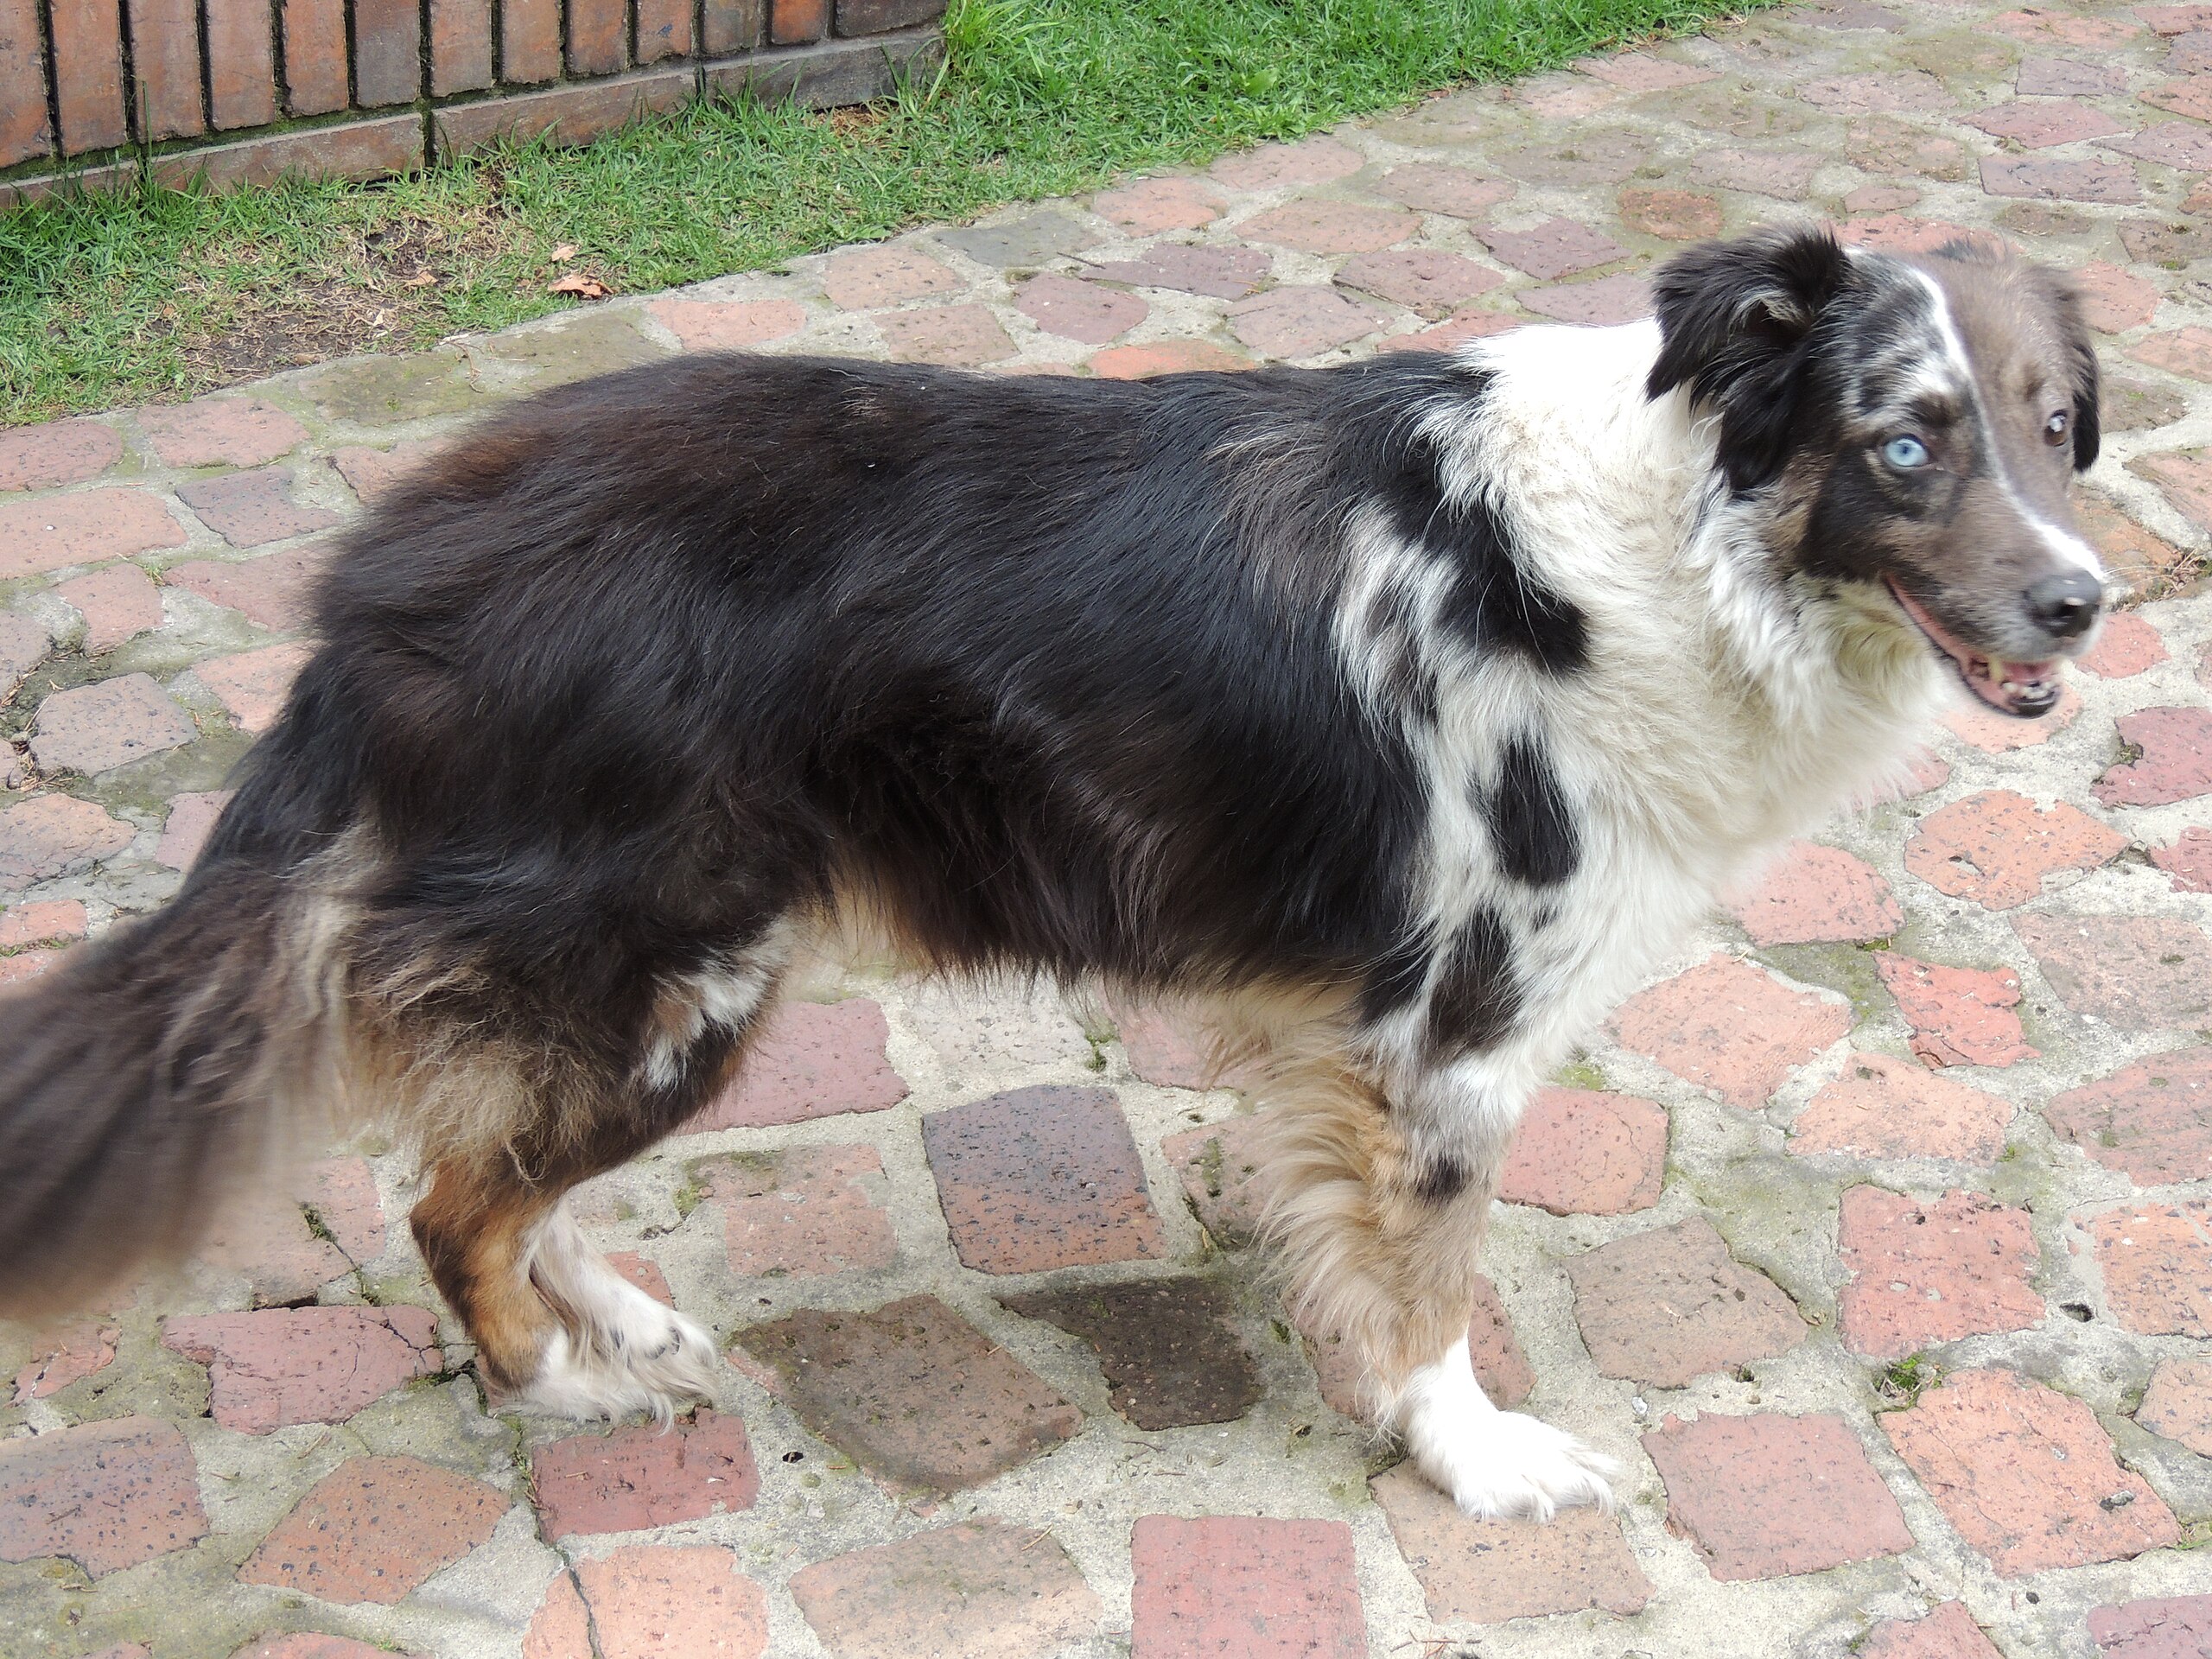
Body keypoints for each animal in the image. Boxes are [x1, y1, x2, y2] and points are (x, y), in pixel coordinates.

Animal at [0, 227, 2106, 1530]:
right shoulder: (1453, 1033)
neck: (1673, 549)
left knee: (482, 1169)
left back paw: (612, 1318)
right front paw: (1478, 1461)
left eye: (2056, 428)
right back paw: (567, 1391)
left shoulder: (1345, 1046)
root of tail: (376, 586)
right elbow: (1430, 1286)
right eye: (1902, 444)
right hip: (677, 973)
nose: (2085, 603)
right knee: (447, 1200)